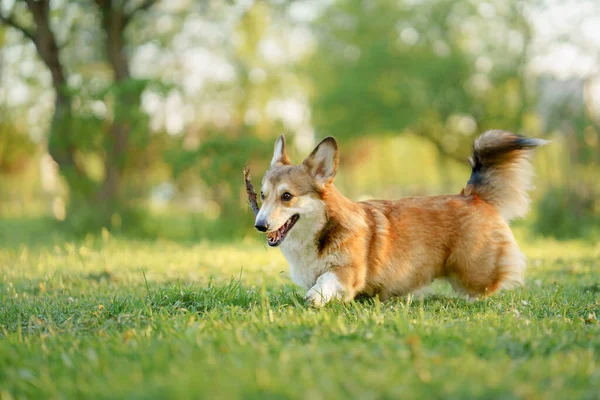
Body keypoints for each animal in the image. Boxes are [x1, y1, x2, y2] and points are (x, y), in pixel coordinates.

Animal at [253, 131, 548, 306]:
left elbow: (326, 279)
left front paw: (315, 296)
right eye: (262, 195)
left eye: (287, 196)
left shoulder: (348, 273)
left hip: (473, 270)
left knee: (493, 281)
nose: (260, 225)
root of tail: (472, 195)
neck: (319, 233)